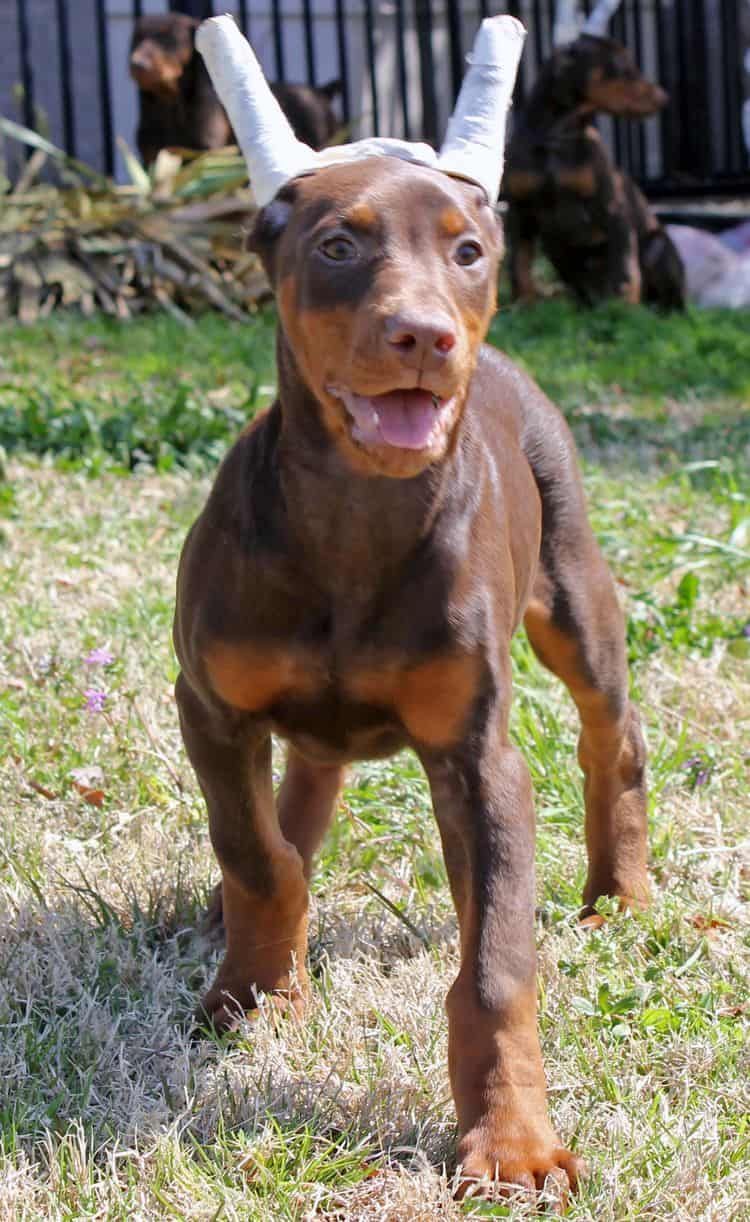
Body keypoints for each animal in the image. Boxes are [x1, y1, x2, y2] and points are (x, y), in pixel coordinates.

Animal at [172, 157, 654, 1197]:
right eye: (335, 245)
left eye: (467, 251)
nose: (426, 335)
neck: (358, 509)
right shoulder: (212, 708)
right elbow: (256, 854)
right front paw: (260, 996)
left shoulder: (479, 757)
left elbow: (496, 967)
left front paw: (511, 1144)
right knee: (303, 793)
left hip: (575, 595)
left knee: (613, 734)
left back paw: (620, 896)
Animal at [505, 36, 688, 310]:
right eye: (620, 64)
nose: (664, 97)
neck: (557, 137)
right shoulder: (518, 211)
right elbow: (519, 263)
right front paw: (523, 305)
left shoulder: (613, 209)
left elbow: (624, 268)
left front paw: (624, 309)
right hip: (558, 254)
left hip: (658, 247)